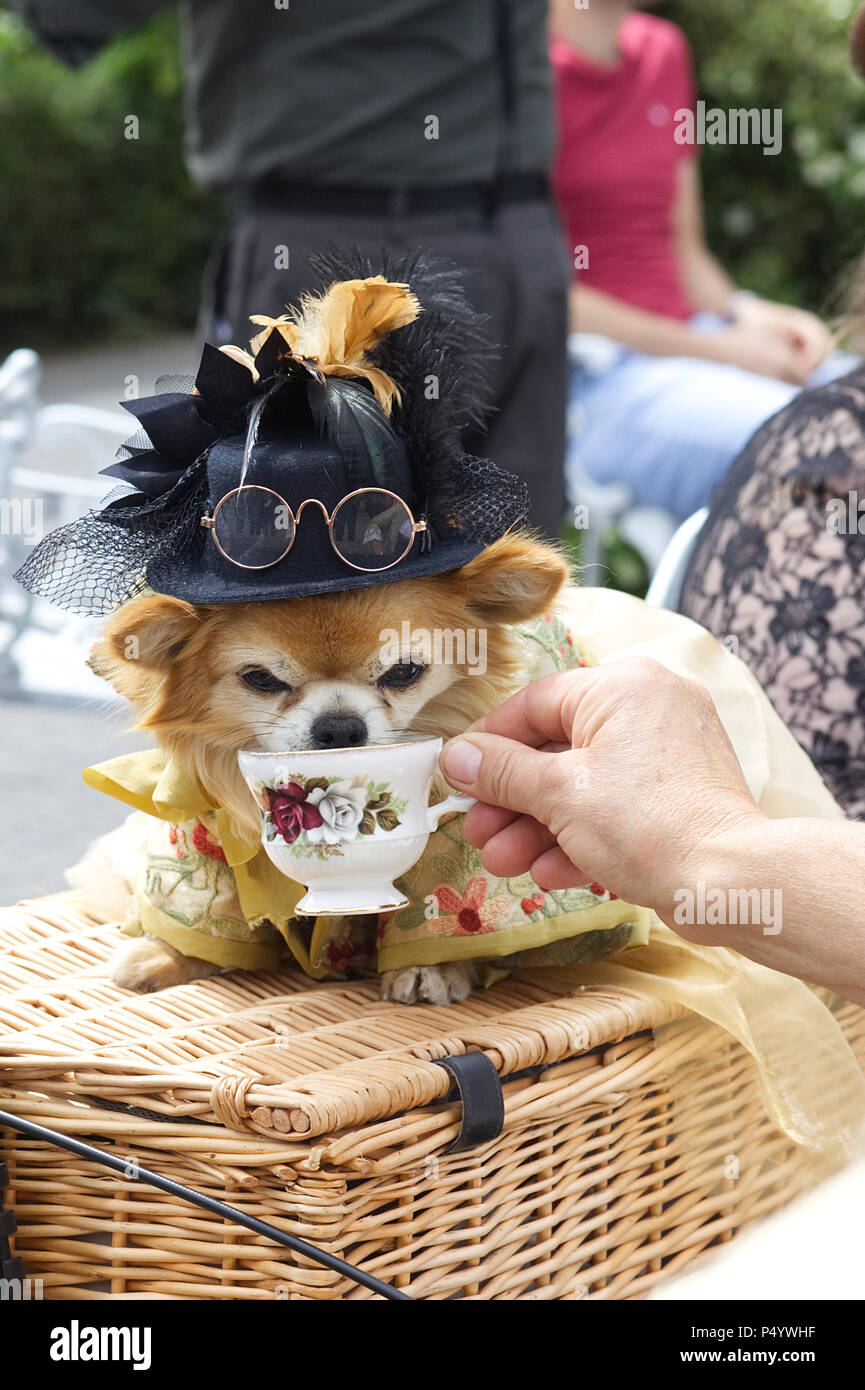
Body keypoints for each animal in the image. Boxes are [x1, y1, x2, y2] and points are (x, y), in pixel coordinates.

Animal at [84, 530, 572, 1000]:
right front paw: (170, 954)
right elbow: (208, 899)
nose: (339, 727)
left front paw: (429, 966)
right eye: (261, 679)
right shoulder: (208, 822)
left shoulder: (451, 832)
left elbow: (436, 897)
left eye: (404, 672)